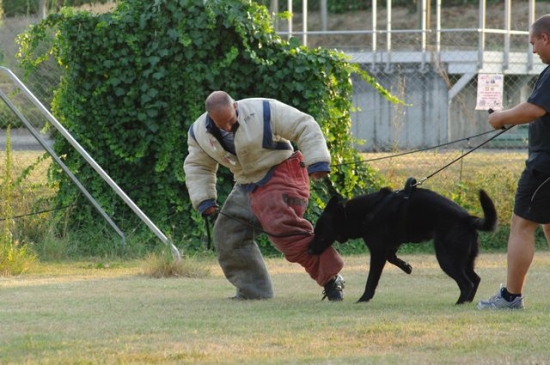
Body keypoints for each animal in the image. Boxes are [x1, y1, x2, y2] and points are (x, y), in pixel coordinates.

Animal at [310, 183, 500, 302]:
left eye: (319, 231)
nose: (309, 250)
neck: (365, 213)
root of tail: (468, 219)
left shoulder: (377, 252)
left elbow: (371, 280)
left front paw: (364, 299)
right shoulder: (390, 247)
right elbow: (392, 258)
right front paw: (407, 266)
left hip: (447, 259)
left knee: (467, 283)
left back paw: (459, 303)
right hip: (465, 260)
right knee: (476, 279)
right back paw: (467, 302)